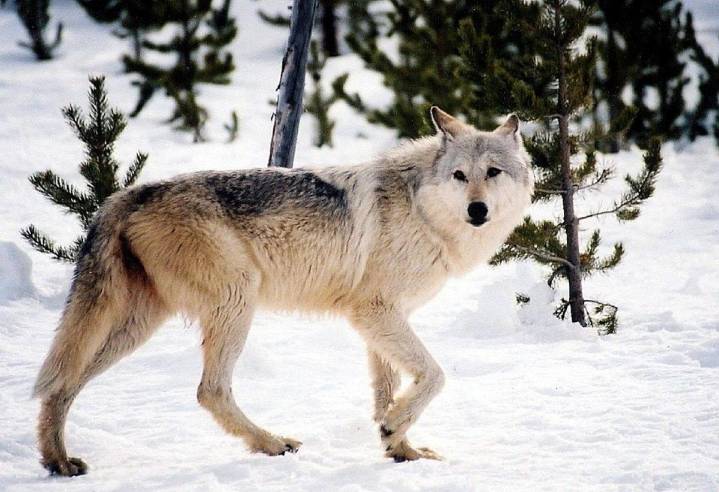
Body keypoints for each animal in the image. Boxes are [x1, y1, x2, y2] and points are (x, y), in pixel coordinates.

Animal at [33, 107, 533, 475]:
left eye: (493, 172)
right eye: (459, 175)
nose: (477, 210)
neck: (422, 210)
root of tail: (128, 194)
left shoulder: (382, 320)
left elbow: (387, 392)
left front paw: (400, 449)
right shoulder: (373, 312)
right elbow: (434, 376)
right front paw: (394, 431)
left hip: (137, 325)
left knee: (61, 385)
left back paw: (57, 461)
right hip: (236, 301)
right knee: (209, 391)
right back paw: (271, 443)